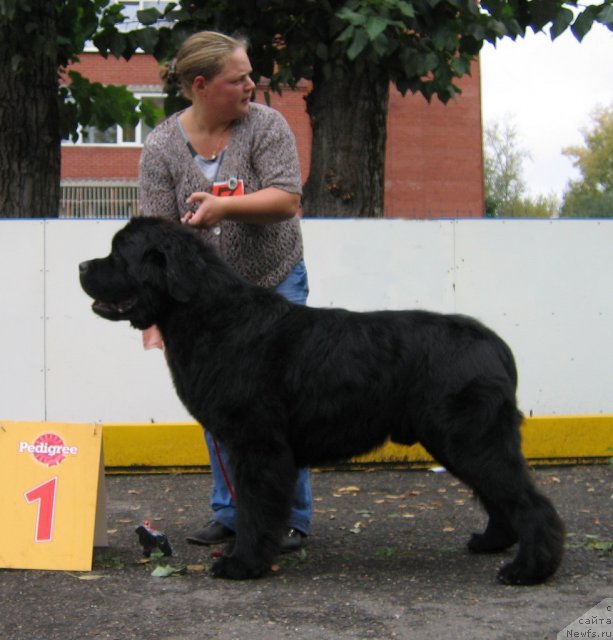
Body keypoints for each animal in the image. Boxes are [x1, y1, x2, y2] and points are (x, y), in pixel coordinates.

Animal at [80, 219, 564, 584]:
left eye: (119, 252)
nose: (82, 265)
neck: (213, 318)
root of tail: (494, 345)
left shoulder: (258, 444)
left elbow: (255, 508)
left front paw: (242, 564)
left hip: (470, 438)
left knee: (529, 502)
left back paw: (528, 570)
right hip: (462, 442)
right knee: (500, 496)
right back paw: (491, 544)